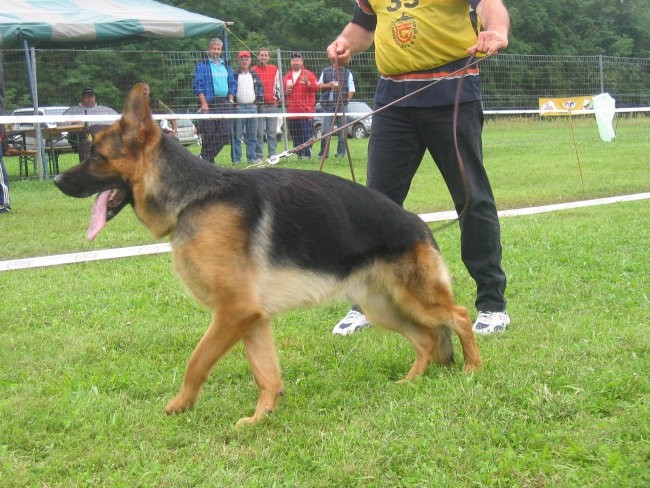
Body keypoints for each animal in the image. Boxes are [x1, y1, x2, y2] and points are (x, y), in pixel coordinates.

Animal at [54, 86, 480, 426]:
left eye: (96, 155)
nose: (57, 180)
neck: (195, 199)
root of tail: (420, 225)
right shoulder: (251, 318)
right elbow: (266, 373)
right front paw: (262, 417)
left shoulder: (234, 312)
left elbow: (197, 362)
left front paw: (179, 406)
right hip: (383, 307)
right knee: (427, 339)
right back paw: (409, 381)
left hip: (414, 298)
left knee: (459, 317)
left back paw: (473, 369)